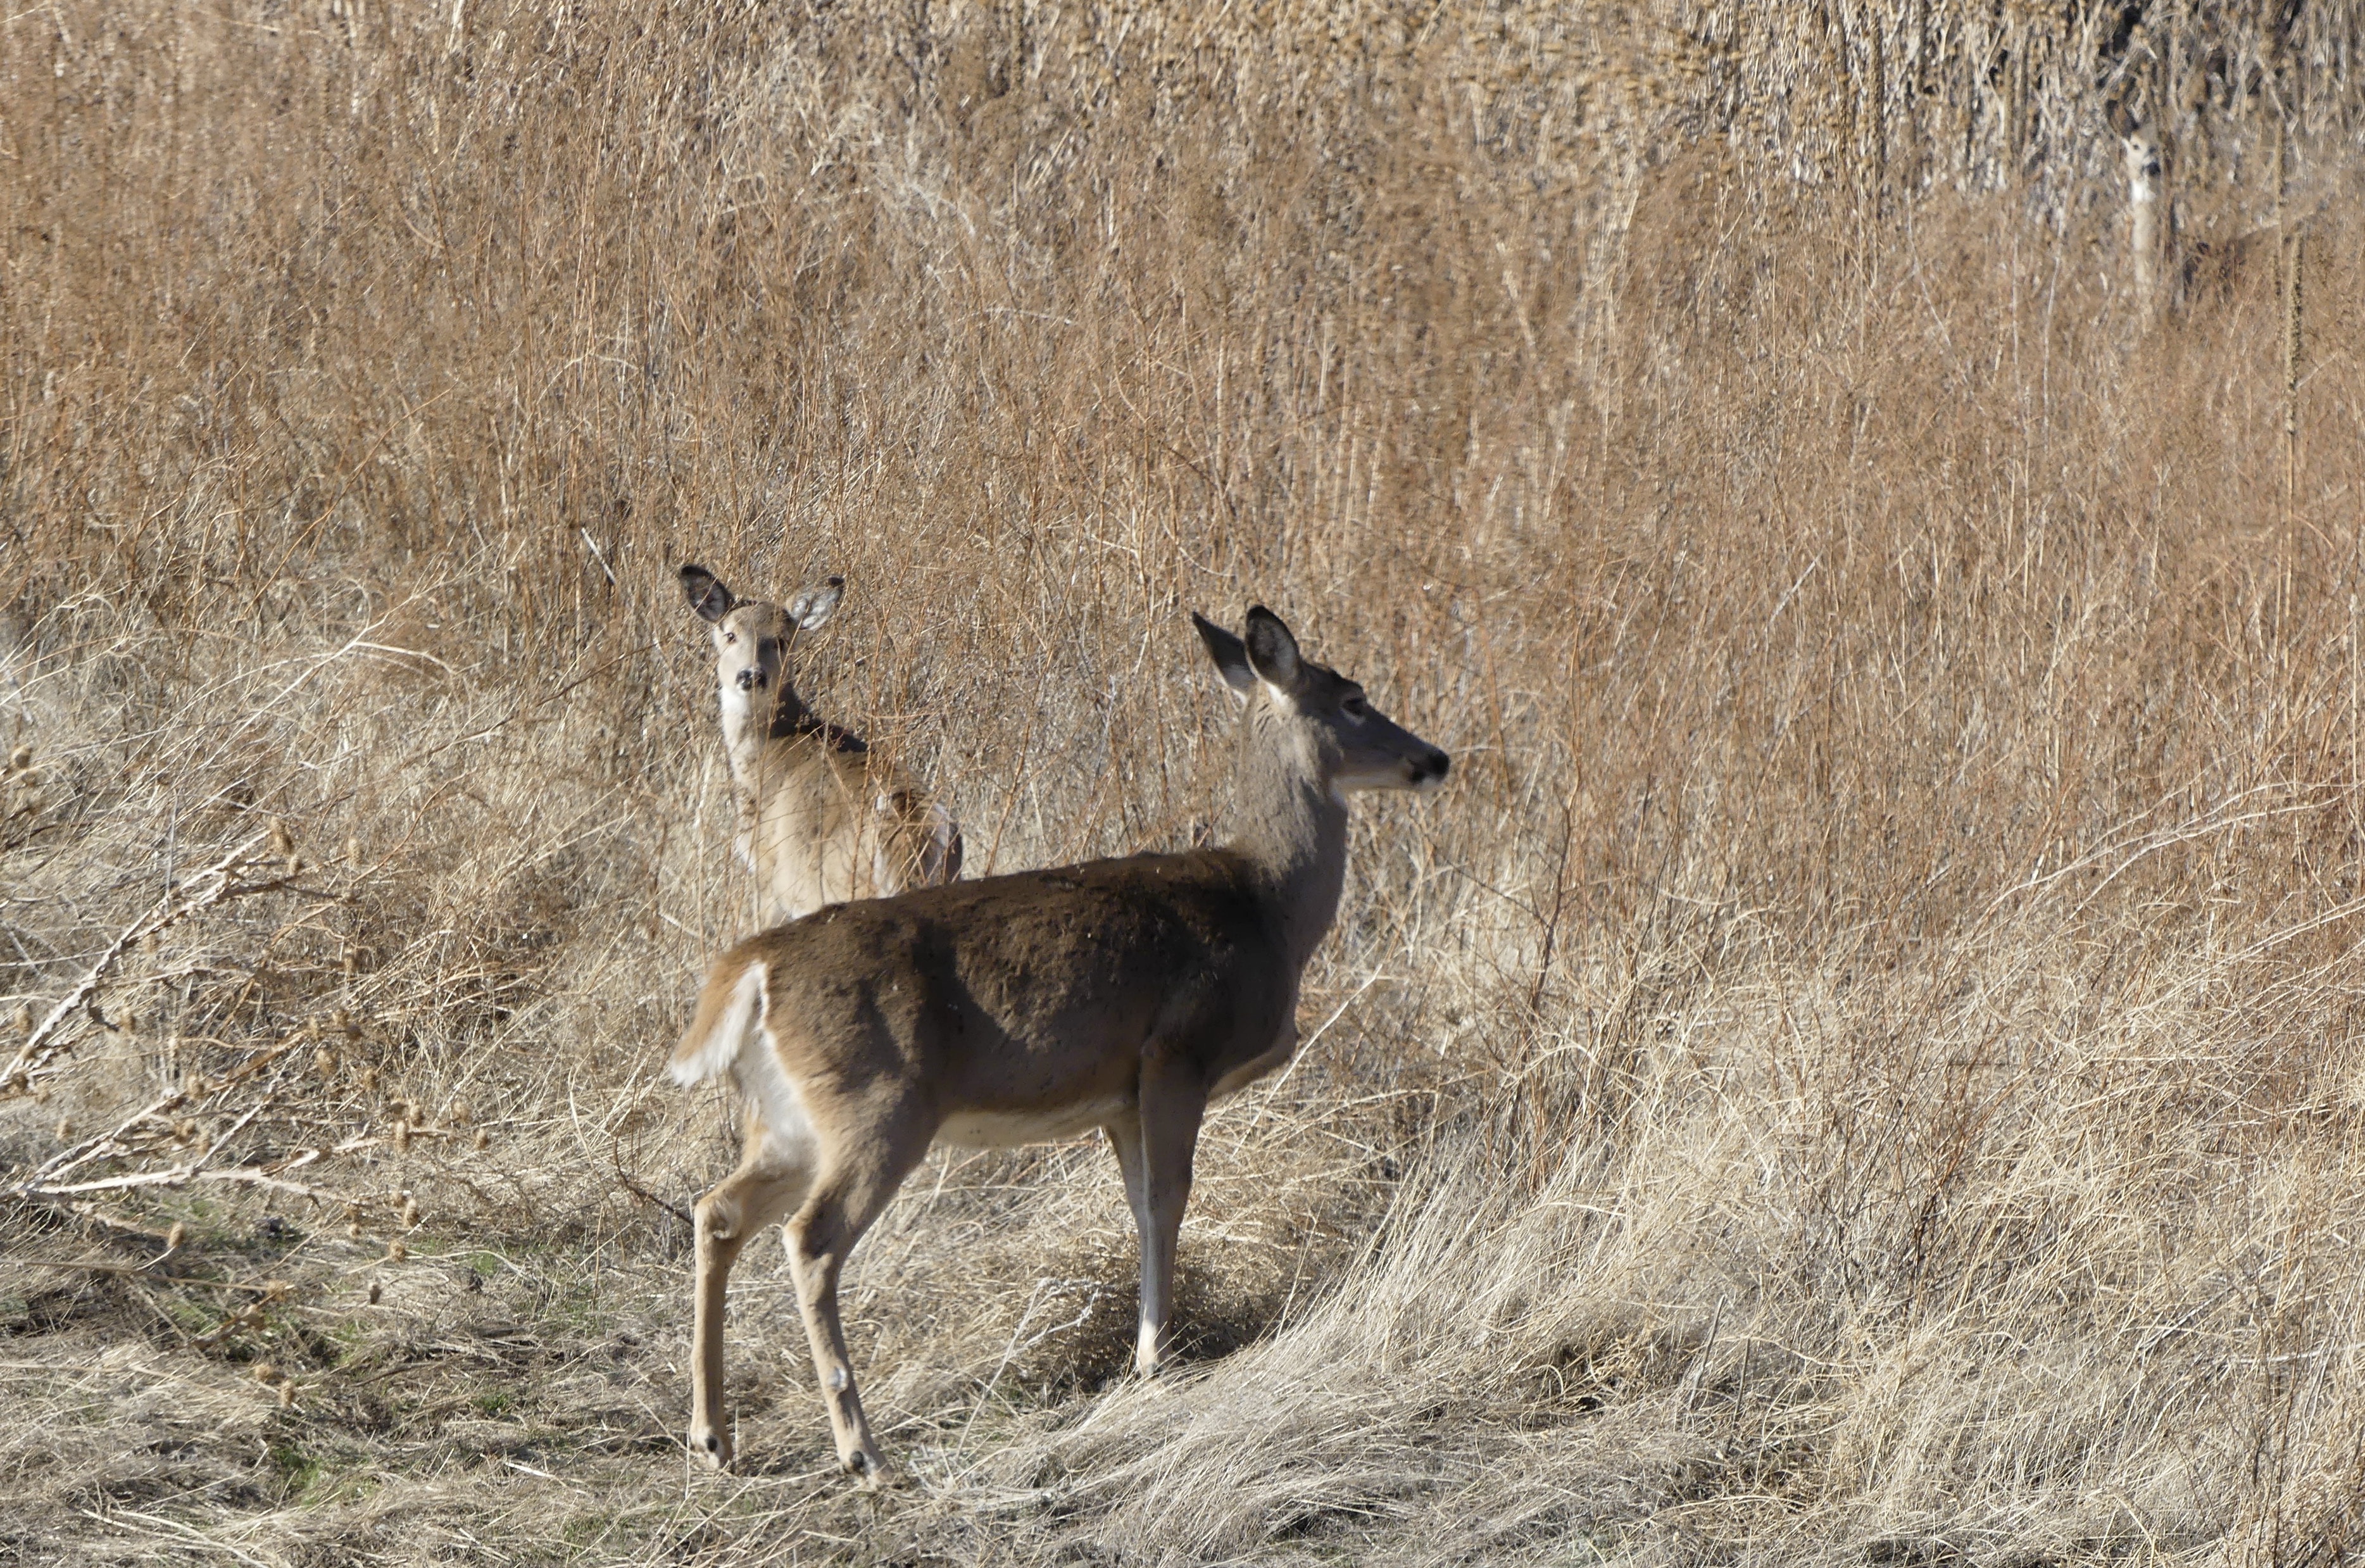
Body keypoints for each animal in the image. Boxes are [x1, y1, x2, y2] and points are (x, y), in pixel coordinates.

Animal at [668, 605, 1450, 1484]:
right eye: (1353, 699)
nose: (1434, 758)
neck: (1267, 907)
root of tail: (752, 968)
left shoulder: (1119, 1095)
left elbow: (1140, 1205)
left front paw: (1146, 1351)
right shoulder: (1176, 1052)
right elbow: (1169, 1197)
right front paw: (1154, 1360)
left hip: (787, 1117)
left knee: (717, 1209)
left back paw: (712, 1435)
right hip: (877, 1103)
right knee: (810, 1237)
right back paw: (860, 1447)